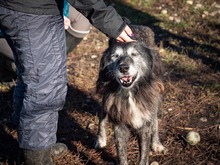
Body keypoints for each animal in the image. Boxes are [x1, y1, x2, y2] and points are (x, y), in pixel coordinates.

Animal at [95, 25, 166, 164]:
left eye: (134, 54)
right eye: (114, 56)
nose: (123, 68)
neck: (130, 93)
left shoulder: (145, 123)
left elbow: (143, 155)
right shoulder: (119, 125)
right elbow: (122, 156)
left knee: (155, 119)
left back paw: (156, 143)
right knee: (102, 116)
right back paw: (101, 139)